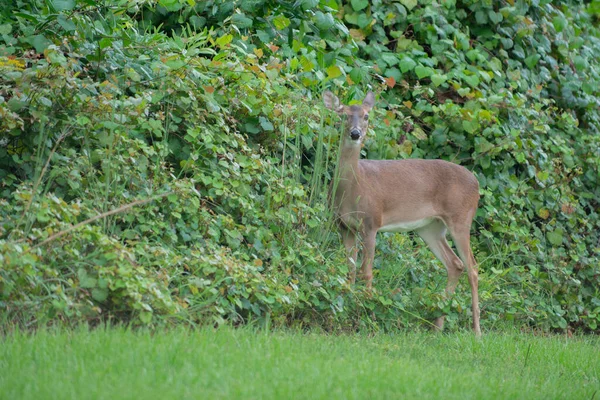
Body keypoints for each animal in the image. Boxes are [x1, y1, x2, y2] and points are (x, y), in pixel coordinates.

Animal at [324, 90, 482, 334]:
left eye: (367, 115)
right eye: (343, 115)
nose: (355, 133)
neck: (354, 187)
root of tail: (477, 184)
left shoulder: (372, 221)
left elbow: (366, 271)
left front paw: (367, 316)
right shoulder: (343, 225)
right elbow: (350, 269)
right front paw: (345, 311)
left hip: (461, 218)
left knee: (472, 268)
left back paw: (477, 330)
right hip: (430, 227)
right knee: (455, 264)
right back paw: (437, 326)